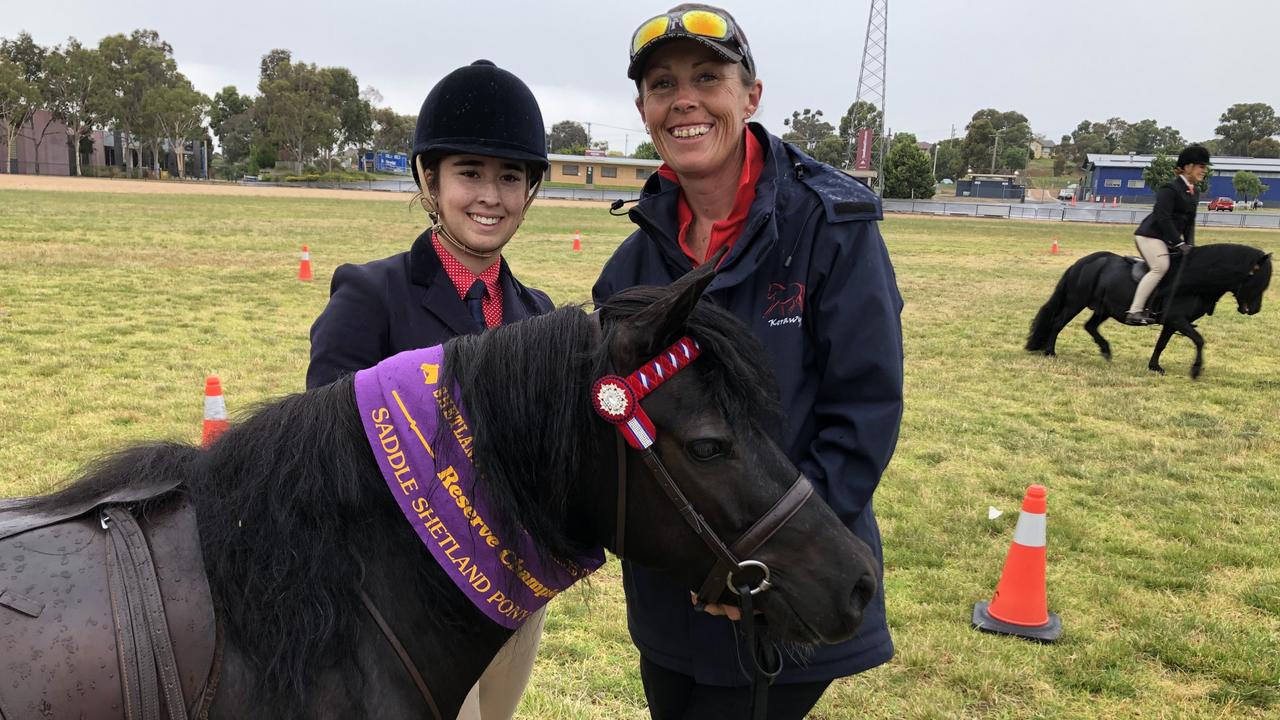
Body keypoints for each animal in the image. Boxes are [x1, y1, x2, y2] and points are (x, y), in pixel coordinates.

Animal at [1024, 240, 1274, 376]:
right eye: (1256, 278)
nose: (1254, 309)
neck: (1196, 278)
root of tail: (1083, 262)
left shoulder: (1172, 322)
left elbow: (1162, 344)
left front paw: (1155, 366)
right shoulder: (1178, 320)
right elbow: (1199, 340)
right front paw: (1195, 370)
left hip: (1105, 309)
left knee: (1090, 326)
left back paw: (1106, 351)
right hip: (1077, 302)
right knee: (1058, 322)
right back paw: (1050, 352)